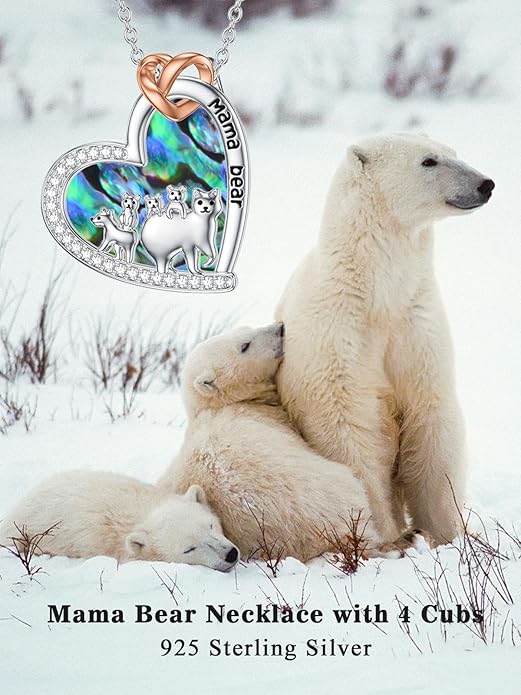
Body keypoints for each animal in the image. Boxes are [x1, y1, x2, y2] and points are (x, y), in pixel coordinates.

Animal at [159, 324, 426, 562]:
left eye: (245, 329)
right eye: (245, 345)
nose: (280, 329)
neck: (221, 405)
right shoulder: (275, 420)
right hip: (331, 486)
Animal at [275, 133, 495, 547]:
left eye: (454, 153)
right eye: (429, 161)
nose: (485, 184)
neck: (378, 294)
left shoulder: (416, 324)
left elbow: (431, 418)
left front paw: (448, 534)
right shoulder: (339, 334)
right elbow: (351, 430)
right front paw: (389, 535)